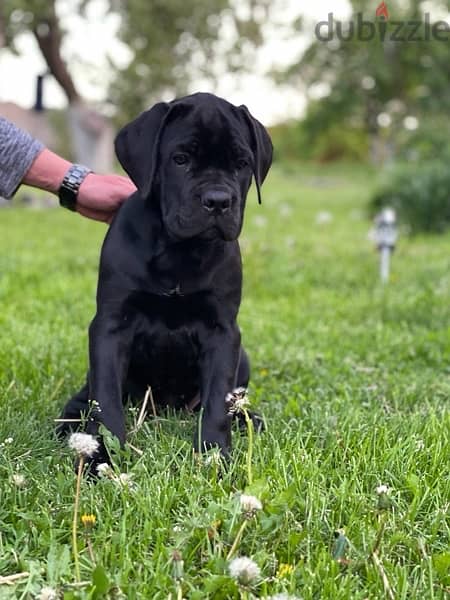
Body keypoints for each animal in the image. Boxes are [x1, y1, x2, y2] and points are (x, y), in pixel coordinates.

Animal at [58, 91, 272, 462]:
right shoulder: (110, 326)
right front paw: (101, 455)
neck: (179, 250)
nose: (218, 201)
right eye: (180, 159)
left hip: (241, 356)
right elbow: (106, 398)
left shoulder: (222, 330)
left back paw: (248, 419)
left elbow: (218, 401)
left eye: (242, 163)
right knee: (90, 393)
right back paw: (70, 419)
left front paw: (215, 455)